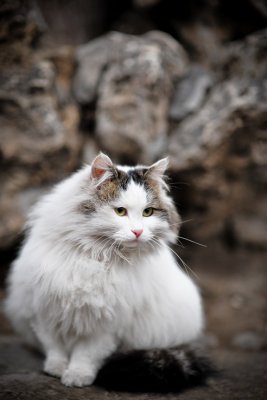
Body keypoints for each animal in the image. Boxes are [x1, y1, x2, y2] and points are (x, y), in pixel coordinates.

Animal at [4, 152, 214, 390]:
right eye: (120, 211)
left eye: (148, 212)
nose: (138, 232)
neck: (97, 256)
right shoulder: (44, 311)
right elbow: (55, 348)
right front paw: (56, 369)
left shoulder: (105, 325)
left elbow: (86, 354)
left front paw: (77, 376)